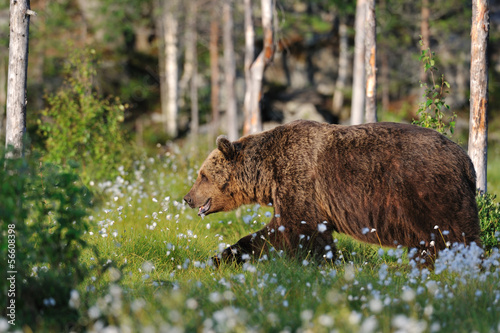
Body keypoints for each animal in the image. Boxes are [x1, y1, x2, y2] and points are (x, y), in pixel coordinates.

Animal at [184, 119, 480, 264]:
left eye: (202, 175)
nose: (187, 198)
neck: (266, 172)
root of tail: (466, 160)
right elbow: (282, 232)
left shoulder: (299, 180)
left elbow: (298, 230)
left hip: (428, 190)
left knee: (453, 234)